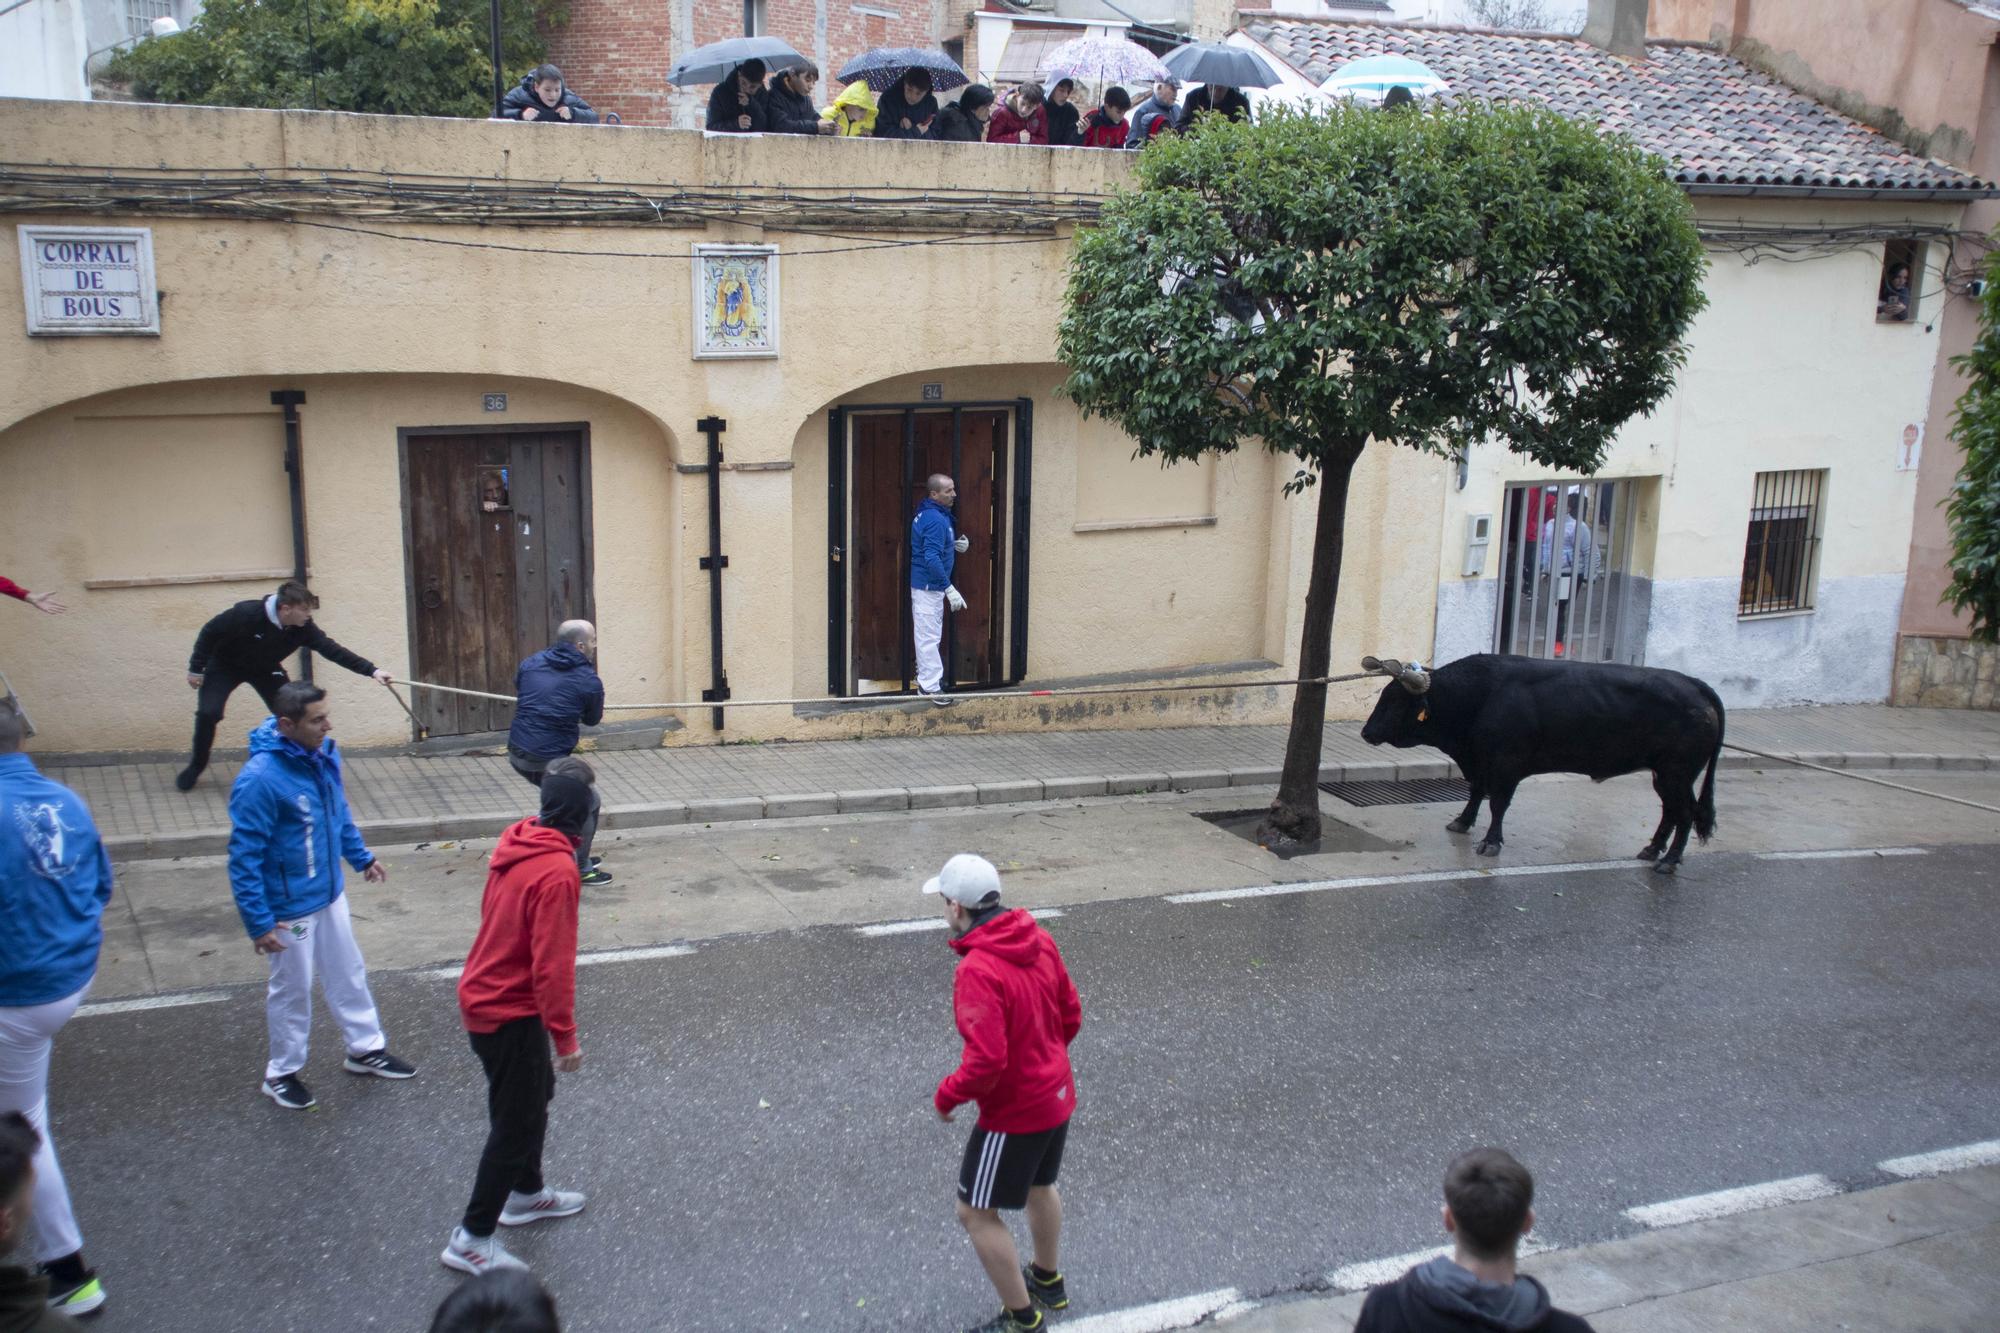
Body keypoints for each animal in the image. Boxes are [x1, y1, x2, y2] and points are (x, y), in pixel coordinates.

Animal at [1368, 652, 1728, 872]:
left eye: (1395, 701)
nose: (1366, 731)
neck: (1481, 695)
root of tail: (1696, 686)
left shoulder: (1507, 765)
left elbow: (1498, 803)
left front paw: (1491, 842)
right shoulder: (1482, 761)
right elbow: (1476, 792)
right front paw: (1462, 822)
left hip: (1676, 773)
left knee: (1685, 813)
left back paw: (1669, 860)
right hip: (1664, 774)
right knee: (1670, 811)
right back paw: (1652, 850)